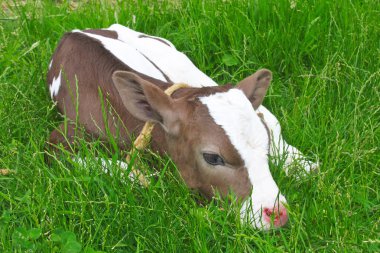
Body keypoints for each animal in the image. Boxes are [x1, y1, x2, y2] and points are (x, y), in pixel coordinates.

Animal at [46, 24, 318, 230]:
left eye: (266, 147)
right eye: (213, 157)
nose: (277, 213)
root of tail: (79, 30)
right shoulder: (58, 140)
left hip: (181, 62)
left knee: (266, 113)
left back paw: (302, 165)